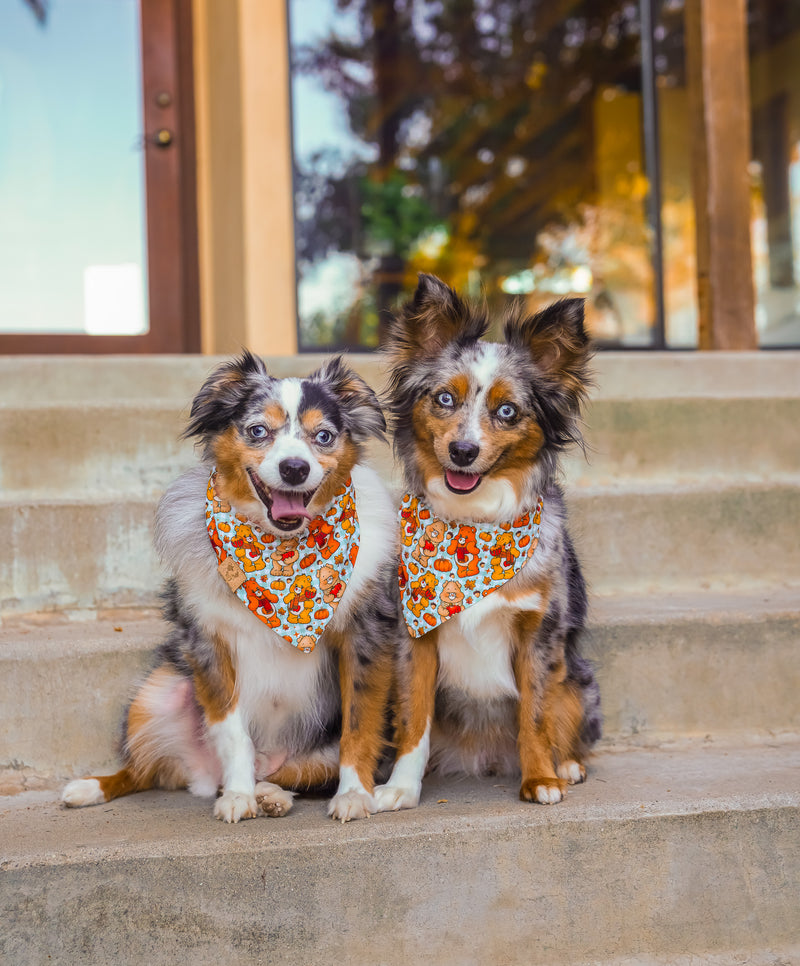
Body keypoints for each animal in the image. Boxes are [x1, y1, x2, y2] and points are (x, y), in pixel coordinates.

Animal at [63, 354, 400, 824]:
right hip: (156, 695)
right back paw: (91, 788)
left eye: (324, 436)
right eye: (257, 430)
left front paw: (354, 795)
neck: (281, 555)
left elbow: (360, 724)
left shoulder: (365, 636)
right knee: (140, 771)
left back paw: (272, 793)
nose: (294, 468)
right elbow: (232, 732)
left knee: (291, 775)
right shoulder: (212, 644)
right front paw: (238, 796)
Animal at [376, 276, 600, 812]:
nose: (463, 451)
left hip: (579, 679)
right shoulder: (413, 639)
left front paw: (541, 780)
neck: (471, 529)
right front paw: (402, 787)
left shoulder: (538, 634)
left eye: (507, 411)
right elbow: (413, 718)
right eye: (444, 400)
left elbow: (535, 717)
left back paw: (567, 764)